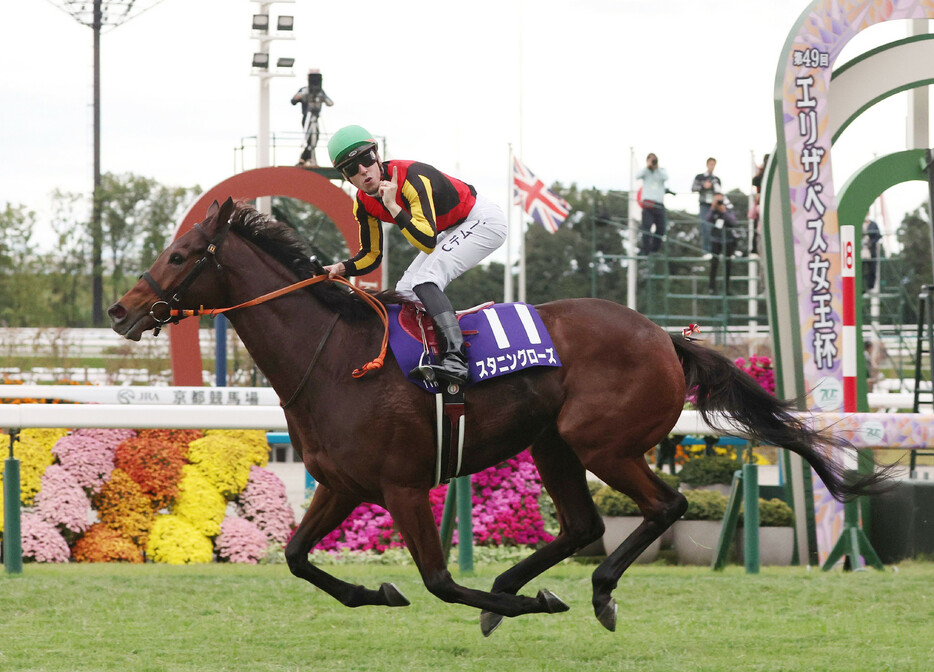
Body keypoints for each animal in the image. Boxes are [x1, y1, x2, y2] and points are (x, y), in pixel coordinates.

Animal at [109, 197, 892, 632]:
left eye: (181, 253)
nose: (120, 310)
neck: (333, 356)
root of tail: (663, 335)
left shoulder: (401, 486)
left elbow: (438, 580)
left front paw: (522, 604)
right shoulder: (340, 484)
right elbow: (299, 557)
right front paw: (376, 590)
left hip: (600, 443)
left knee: (663, 506)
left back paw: (590, 592)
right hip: (553, 445)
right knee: (581, 524)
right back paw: (518, 589)